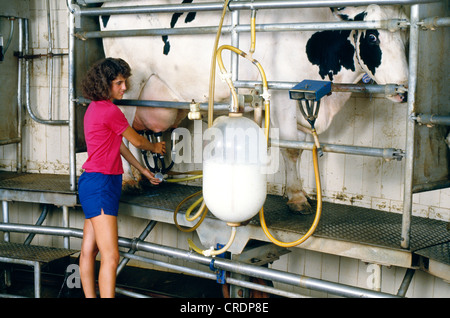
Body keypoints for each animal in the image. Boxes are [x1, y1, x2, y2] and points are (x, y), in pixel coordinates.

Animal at [100, 1, 410, 214]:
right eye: (373, 37)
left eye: (407, 37)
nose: (405, 89)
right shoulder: (282, 96)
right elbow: (291, 150)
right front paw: (297, 197)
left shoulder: (306, 103)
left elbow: (302, 148)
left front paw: (296, 192)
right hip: (129, 87)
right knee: (121, 126)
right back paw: (129, 181)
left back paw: (141, 176)